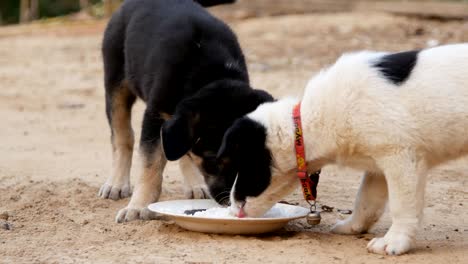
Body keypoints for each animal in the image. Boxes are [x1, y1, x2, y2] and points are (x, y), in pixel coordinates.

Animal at [99, 0, 274, 223]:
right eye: (213, 161)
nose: (230, 203)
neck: (212, 75)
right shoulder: (155, 116)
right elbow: (150, 166)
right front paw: (138, 207)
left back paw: (194, 184)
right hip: (116, 82)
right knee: (122, 135)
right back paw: (117, 183)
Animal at [218, 43, 468, 256]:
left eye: (245, 165)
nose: (232, 208)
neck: (309, 122)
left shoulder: (402, 158)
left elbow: (401, 206)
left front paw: (394, 243)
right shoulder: (377, 166)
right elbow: (366, 201)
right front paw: (352, 227)